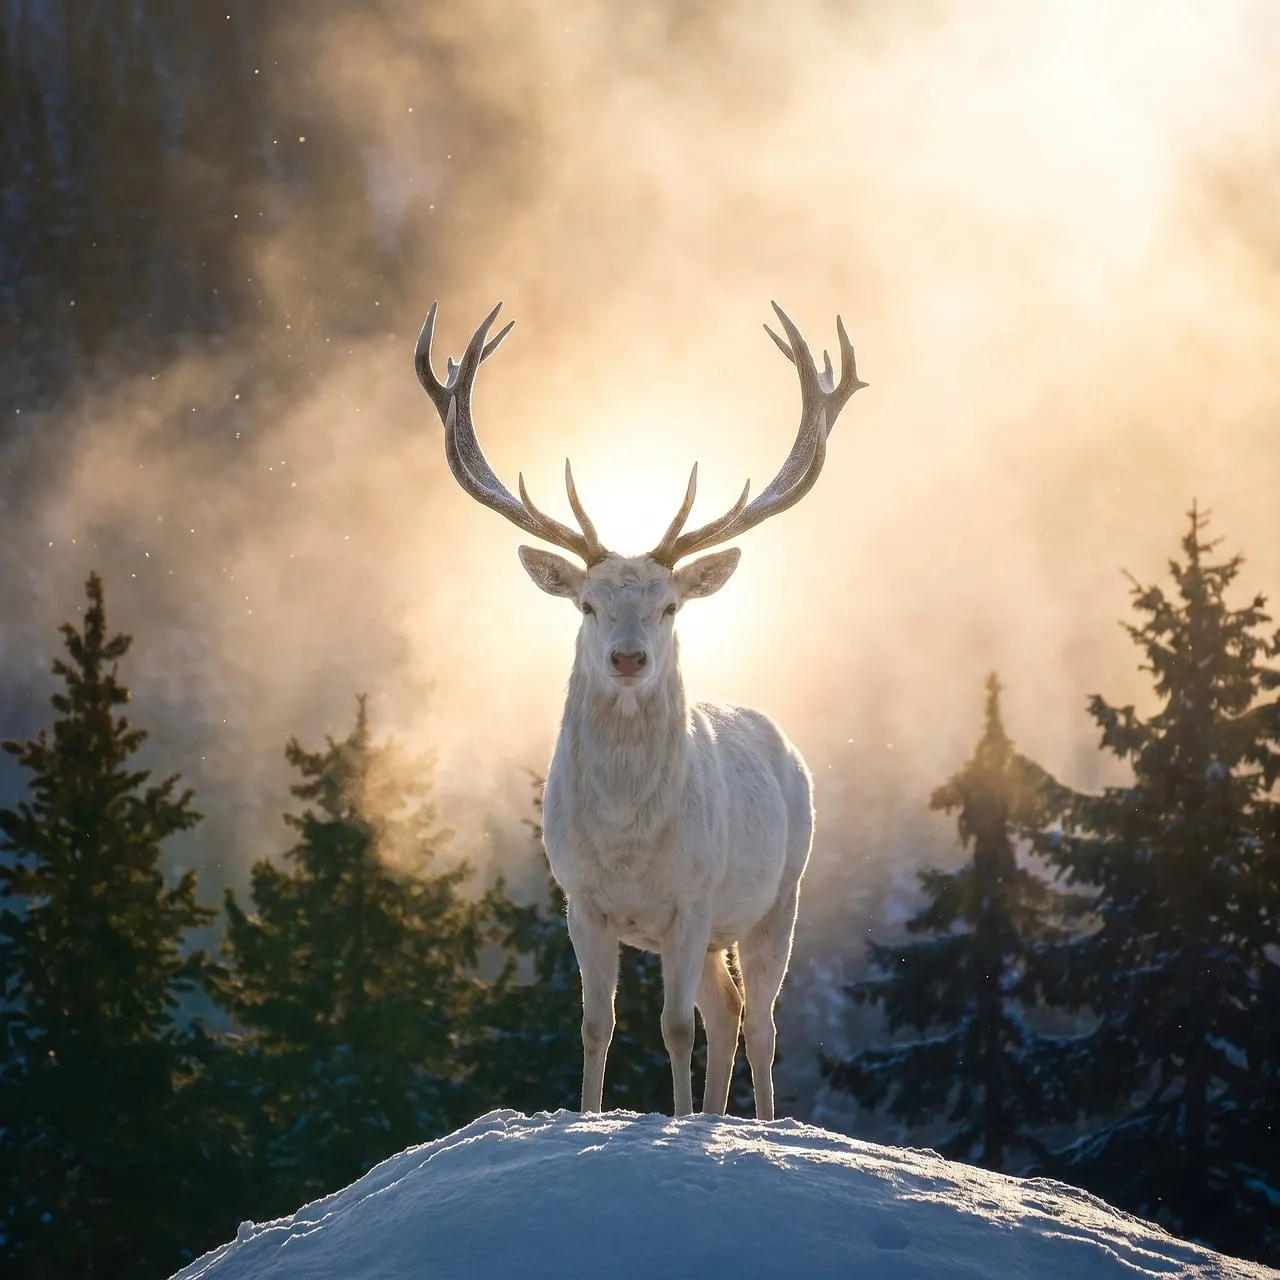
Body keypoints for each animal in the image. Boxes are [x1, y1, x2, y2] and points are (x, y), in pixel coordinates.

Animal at [414, 300, 866, 1120]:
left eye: (670, 606)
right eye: (588, 605)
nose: (629, 659)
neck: (628, 845)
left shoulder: (693, 899)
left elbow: (675, 1027)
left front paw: (679, 1122)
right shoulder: (580, 901)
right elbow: (598, 1024)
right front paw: (592, 1117)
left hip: (779, 894)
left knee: (759, 1021)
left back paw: (754, 1123)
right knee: (728, 1010)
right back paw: (718, 1115)